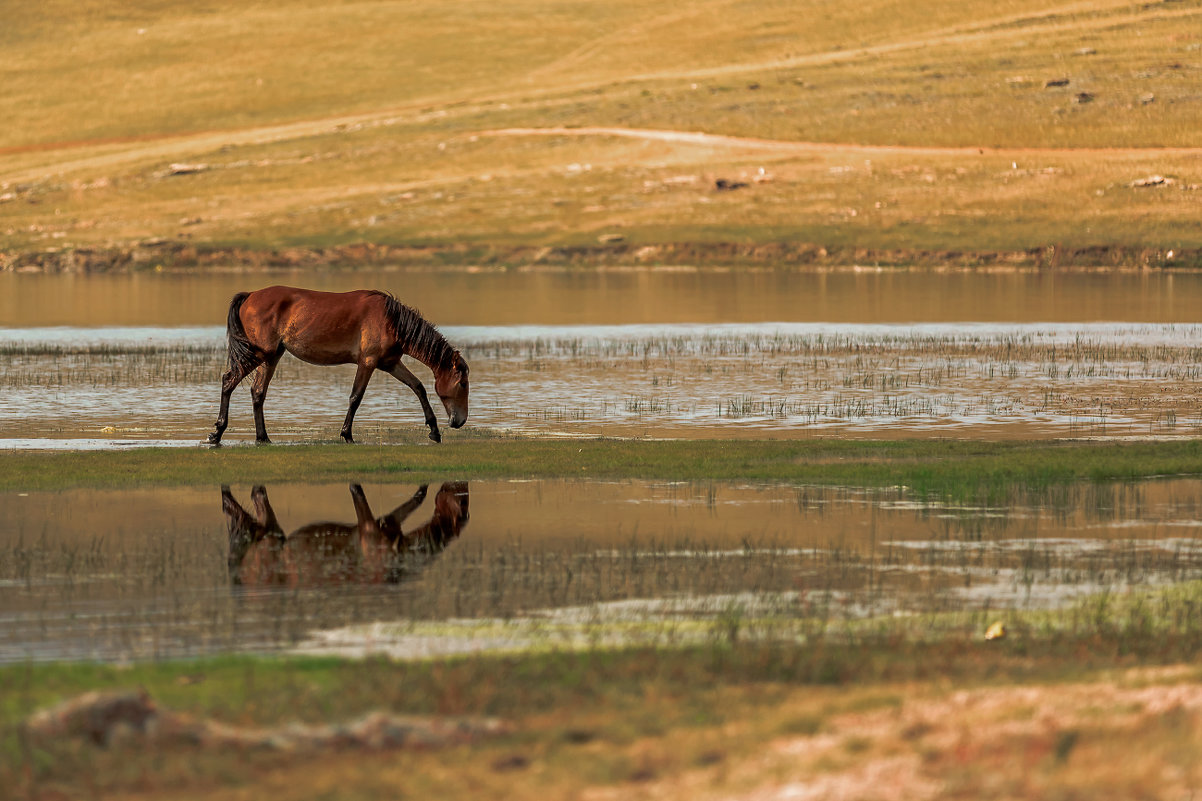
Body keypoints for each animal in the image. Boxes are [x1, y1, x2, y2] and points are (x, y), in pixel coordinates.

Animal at [206, 283, 468, 442]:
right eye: (463, 384)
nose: (459, 421)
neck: (390, 320)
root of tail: (250, 295)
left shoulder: (391, 363)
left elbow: (418, 387)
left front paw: (434, 430)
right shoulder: (368, 362)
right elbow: (355, 397)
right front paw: (346, 434)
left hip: (271, 357)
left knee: (257, 392)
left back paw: (263, 437)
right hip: (259, 354)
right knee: (228, 380)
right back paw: (217, 432)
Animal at [223, 481, 471, 586]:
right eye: (462, 503)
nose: (460, 485)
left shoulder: (390, 523)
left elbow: (416, 499)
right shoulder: (370, 525)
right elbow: (357, 493)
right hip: (270, 538)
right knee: (257, 502)